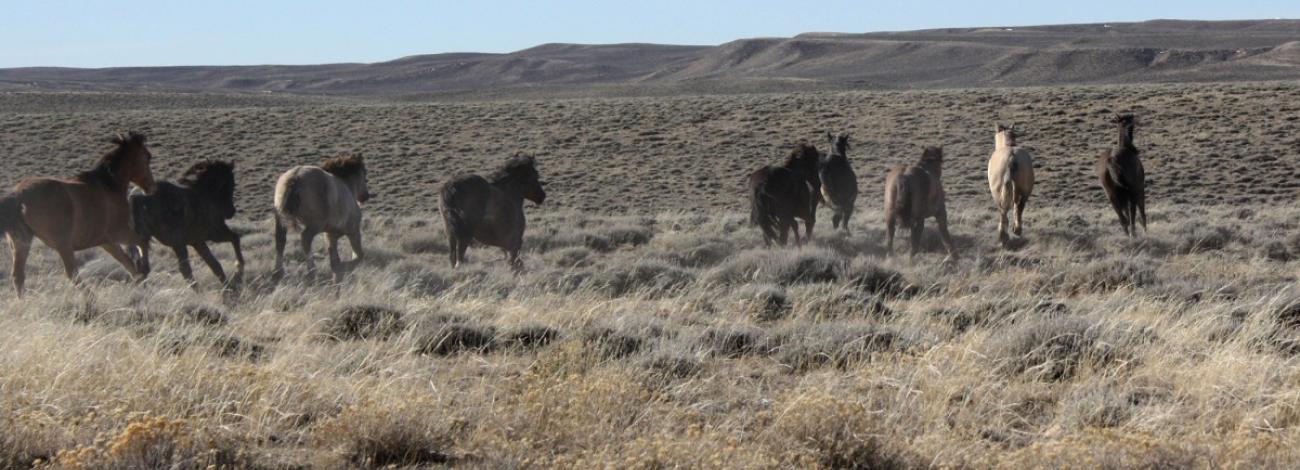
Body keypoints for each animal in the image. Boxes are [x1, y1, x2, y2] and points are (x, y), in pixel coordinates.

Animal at [0, 131, 156, 297]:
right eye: (147, 156)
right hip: (63, 245)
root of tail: (19, 194)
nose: (152, 187)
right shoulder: (119, 232)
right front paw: (144, 270)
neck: (109, 186)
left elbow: (127, 262)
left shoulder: (106, 241)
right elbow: (142, 241)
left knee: (18, 276)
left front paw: (140, 279)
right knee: (72, 274)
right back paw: (91, 298)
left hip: (21, 244)